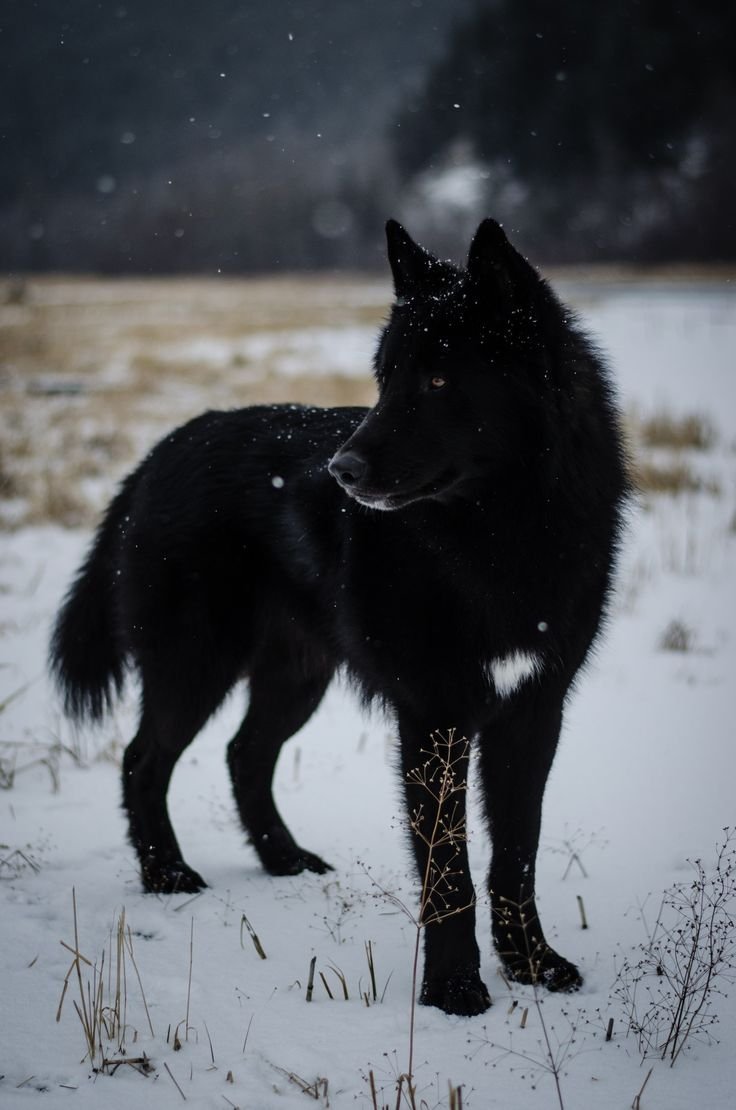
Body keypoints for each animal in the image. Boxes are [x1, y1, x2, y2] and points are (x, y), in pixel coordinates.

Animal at [50, 220, 626, 1016]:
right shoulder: (435, 716)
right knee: (144, 759)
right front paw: (455, 990)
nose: (341, 474)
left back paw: (284, 859)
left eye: (438, 382)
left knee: (243, 754)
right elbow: (449, 867)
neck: (497, 534)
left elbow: (517, 856)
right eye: (385, 380)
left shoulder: (533, 713)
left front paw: (534, 966)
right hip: (195, 667)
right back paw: (168, 877)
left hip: (297, 677)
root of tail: (157, 456)